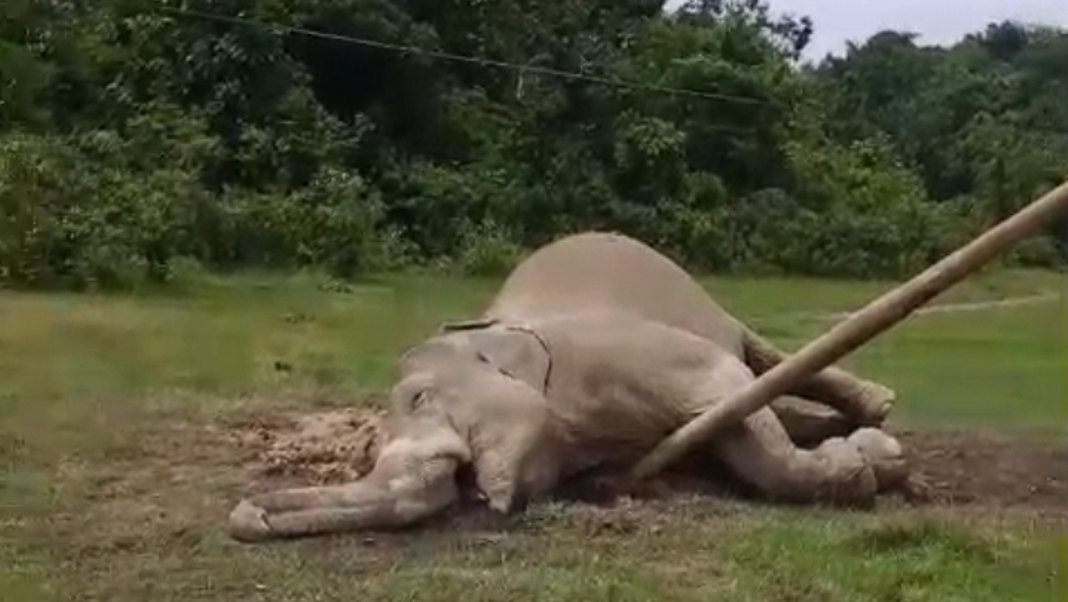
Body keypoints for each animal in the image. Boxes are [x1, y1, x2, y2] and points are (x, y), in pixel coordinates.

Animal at [228, 232, 907, 542]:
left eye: (418, 397)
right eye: (368, 448)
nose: (245, 515)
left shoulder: (626, 355)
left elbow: (732, 399)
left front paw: (873, 462)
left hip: (699, 295)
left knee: (760, 357)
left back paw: (878, 408)